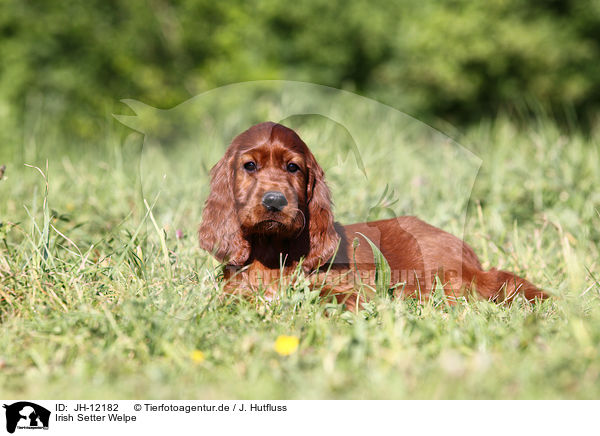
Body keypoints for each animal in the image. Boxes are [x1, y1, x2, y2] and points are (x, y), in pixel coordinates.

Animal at [199, 121, 548, 308]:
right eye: (250, 165)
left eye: (292, 167)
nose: (274, 201)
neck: (271, 251)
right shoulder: (234, 290)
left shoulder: (349, 290)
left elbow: (330, 298)